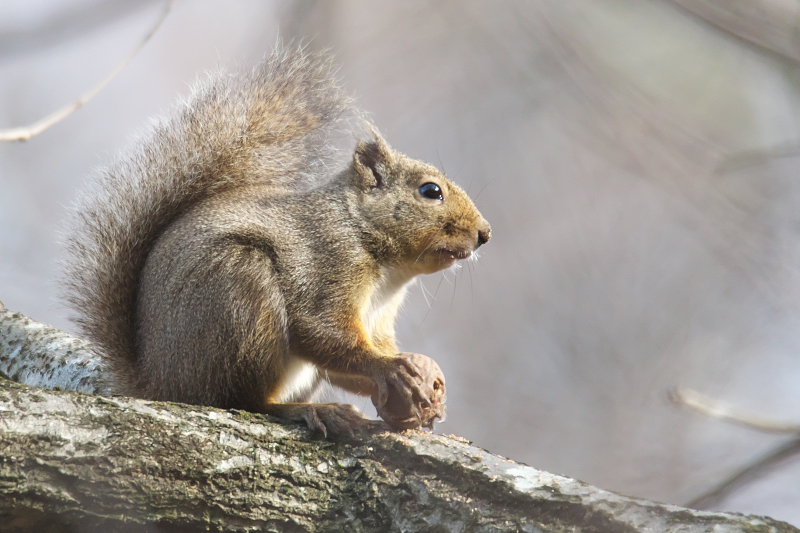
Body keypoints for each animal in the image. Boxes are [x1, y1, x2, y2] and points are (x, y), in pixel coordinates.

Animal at [61, 47, 488, 434]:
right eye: (431, 191)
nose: (485, 233)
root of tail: (159, 384)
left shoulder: (378, 320)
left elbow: (344, 360)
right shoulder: (328, 263)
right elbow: (320, 330)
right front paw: (390, 369)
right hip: (242, 298)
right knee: (238, 400)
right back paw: (307, 410)